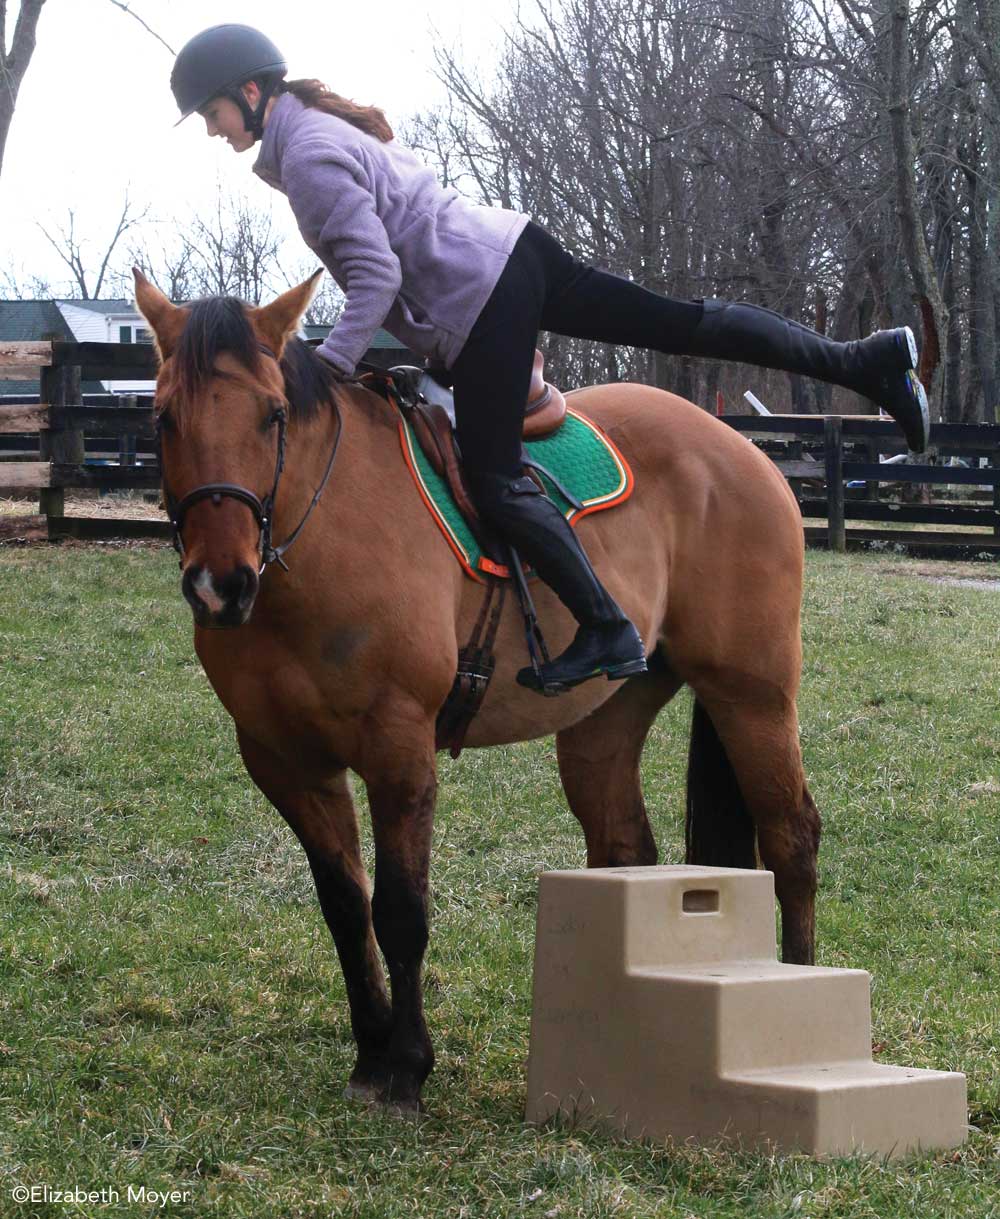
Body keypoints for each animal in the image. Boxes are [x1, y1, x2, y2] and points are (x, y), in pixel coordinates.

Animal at [134, 271, 819, 1111]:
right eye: (164, 418)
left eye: (272, 414)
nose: (220, 584)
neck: (318, 542)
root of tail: (741, 450)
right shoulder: (287, 763)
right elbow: (343, 905)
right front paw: (371, 1049)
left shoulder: (399, 750)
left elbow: (399, 910)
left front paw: (407, 1063)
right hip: (605, 721)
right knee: (625, 846)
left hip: (753, 695)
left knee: (791, 839)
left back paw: (802, 988)